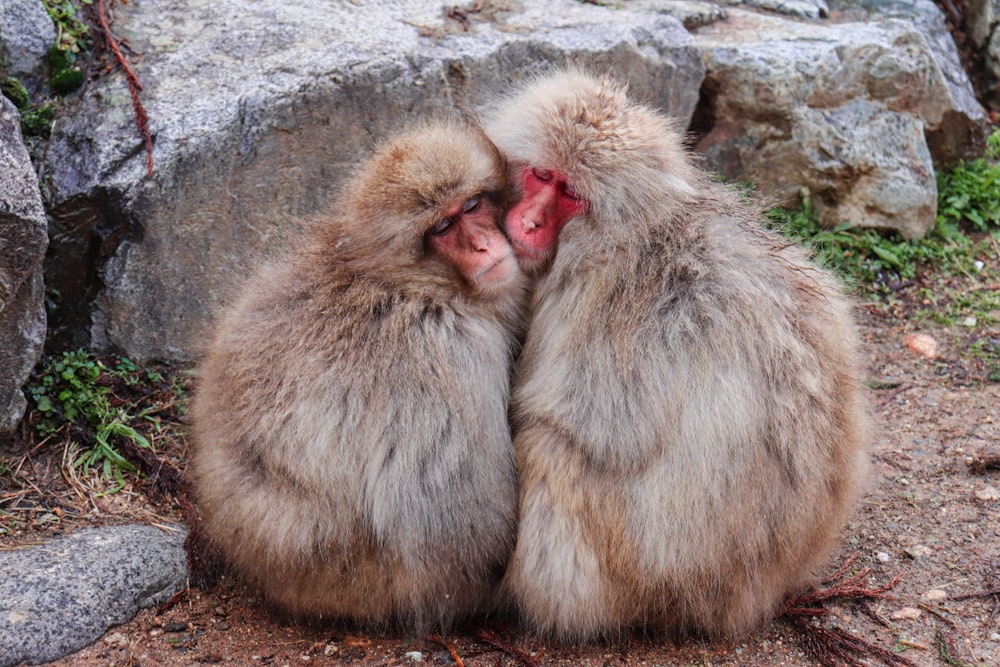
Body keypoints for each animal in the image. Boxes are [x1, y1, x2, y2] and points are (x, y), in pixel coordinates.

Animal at [189, 121, 532, 632]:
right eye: (443, 228)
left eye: (472, 206)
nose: (483, 245)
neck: (403, 281)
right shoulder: (444, 352)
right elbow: (448, 514)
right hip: (362, 582)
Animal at [480, 72, 872, 640]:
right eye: (540, 175)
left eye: (569, 194)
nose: (529, 222)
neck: (627, 234)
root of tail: (761, 589)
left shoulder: (605, 303)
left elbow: (593, 427)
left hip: (636, 573)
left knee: (550, 451)